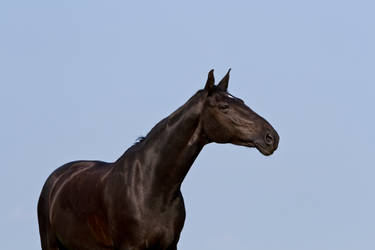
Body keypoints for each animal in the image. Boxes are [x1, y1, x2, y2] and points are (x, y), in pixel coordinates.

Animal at [38, 70, 280, 250]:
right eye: (224, 106)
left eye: (241, 101)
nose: (271, 137)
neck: (151, 186)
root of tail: (56, 179)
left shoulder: (170, 246)